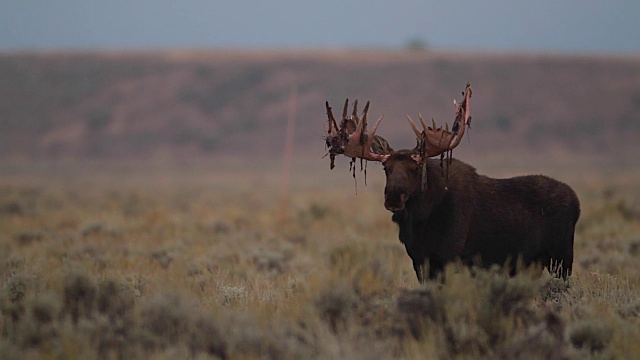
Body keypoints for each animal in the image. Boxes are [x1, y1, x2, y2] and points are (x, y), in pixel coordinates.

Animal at [324, 83, 580, 282]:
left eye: (415, 168)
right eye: (386, 169)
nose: (393, 198)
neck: (422, 217)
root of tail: (577, 202)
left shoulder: (449, 257)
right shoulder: (419, 260)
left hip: (561, 258)